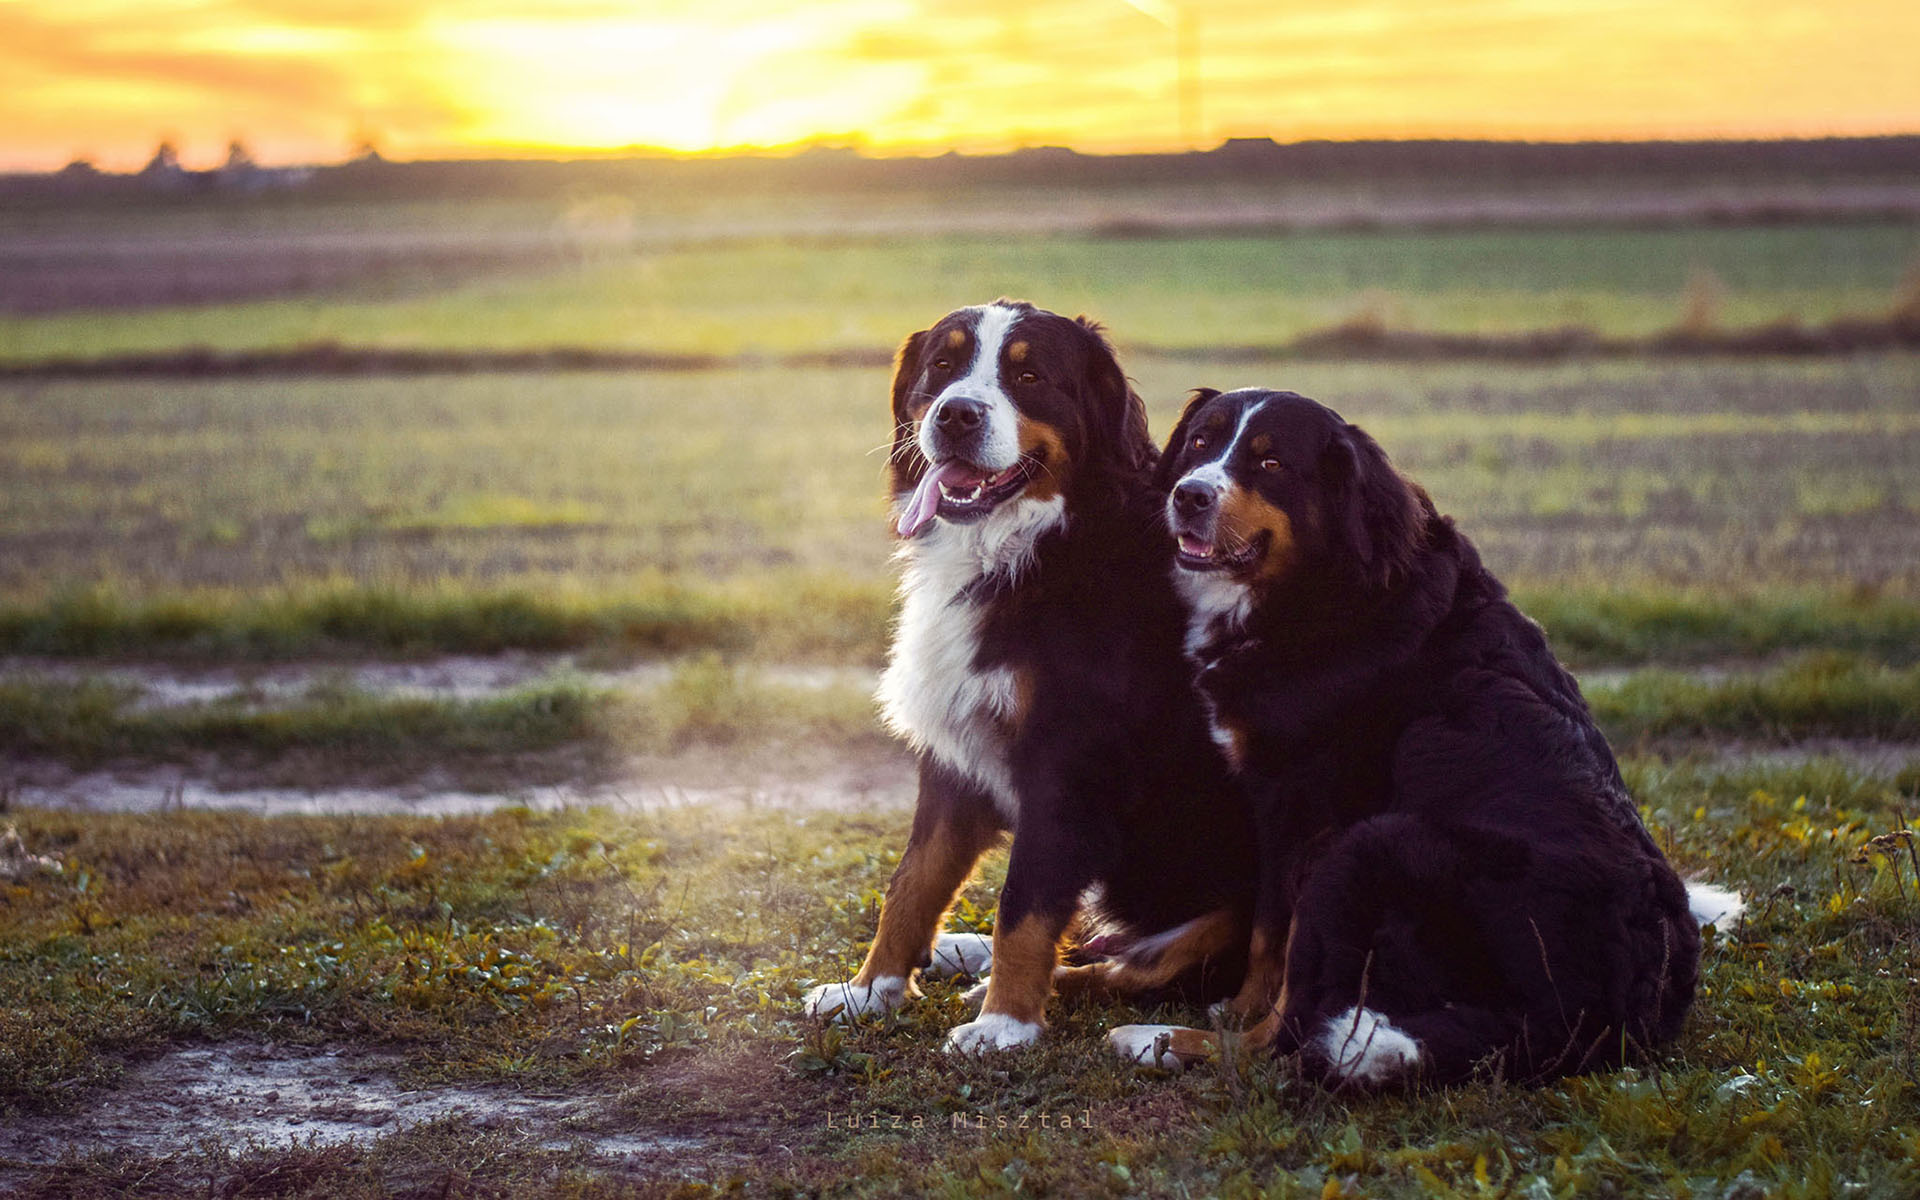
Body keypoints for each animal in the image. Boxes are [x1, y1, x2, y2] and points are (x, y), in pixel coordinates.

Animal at [798, 299, 1259, 1044]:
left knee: (1129, 970)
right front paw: (869, 990)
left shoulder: (1066, 762)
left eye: (1030, 376)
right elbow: (912, 882)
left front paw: (1003, 1024)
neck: (1029, 549)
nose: (956, 415)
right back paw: (962, 951)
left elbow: (1026, 901)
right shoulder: (954, 755)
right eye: (944, 365)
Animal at [1105, 385, 1751, 1082]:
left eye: (1271, 463)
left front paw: (1234, 1006)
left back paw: (1154, 1038)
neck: (1323, 591)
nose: (1189, 495)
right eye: (1200, 442)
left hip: (1366, 846)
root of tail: (1603, 1011)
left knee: (1286, 1035)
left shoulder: (1297, 805)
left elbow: (1268, 939)